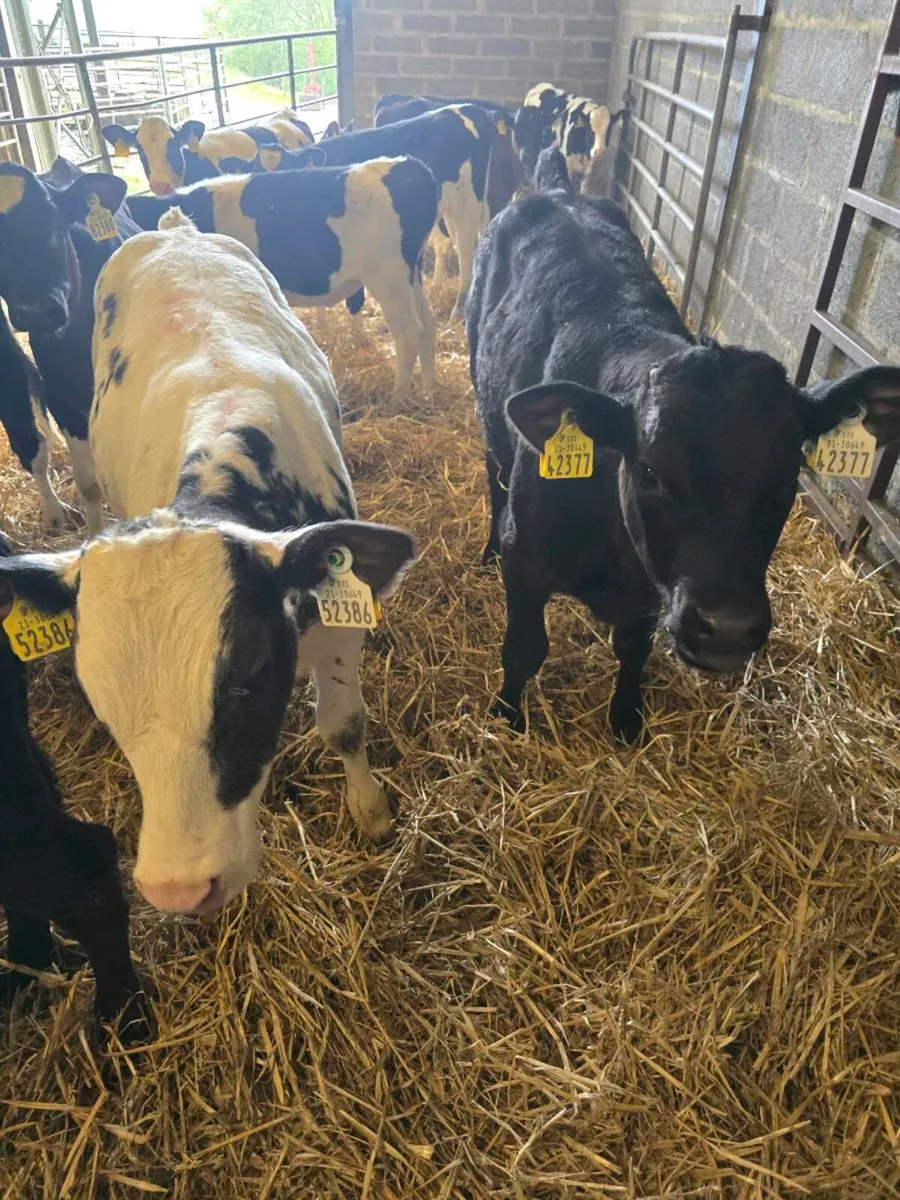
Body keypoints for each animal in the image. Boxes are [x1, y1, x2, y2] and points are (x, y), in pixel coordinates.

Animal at [0, 209, 416, 916]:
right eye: (101, 703)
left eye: (247, 680)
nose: (178, 889)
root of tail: (174, 230)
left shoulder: (340, 623)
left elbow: (345, 727)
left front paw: (370, 810)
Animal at [124, 157, 439, 401]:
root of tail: (409, 166)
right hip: (412, 275)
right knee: (428, 324)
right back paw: (428, 391)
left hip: (388, 276)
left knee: (409, 332)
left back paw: (398, 398)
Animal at [238, 105, 495, 320]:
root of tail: (469, 109)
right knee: (446, 244)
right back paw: (435, 290)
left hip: (466, 204)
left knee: (466, 253)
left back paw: (456, 314)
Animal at [468, 148, 900, 743]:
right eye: (649, 471)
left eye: (788, 477)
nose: (728, 628)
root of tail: (558, 193)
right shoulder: (526, 562)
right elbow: (524, 650)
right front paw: (506, 718)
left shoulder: (651, 594)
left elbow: (633, 650)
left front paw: (626, 718)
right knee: (494, 473)